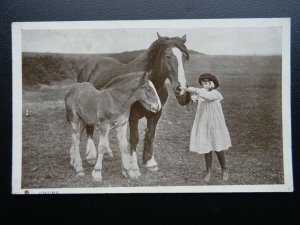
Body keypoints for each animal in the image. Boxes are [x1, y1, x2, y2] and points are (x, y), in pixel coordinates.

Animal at [77, 32, 190, 176]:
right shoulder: (133, 116)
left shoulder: (156, 114)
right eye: (168, 56)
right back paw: (91, 156)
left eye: (185, 57)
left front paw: (150, 162)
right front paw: (133, 166)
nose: (181, 88)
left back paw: (107, 151)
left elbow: (150, 136)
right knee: (90, 128)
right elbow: (134, 138)